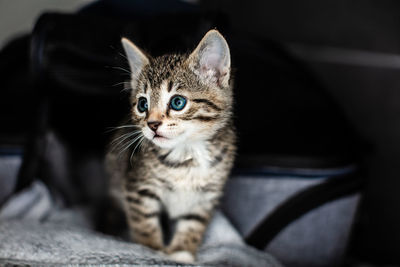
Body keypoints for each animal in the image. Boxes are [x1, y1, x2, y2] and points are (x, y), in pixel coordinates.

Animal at [107, 29, 238, 264]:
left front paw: (181, 252)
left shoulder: (206, 196)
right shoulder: (138, 187)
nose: (152, 124)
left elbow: (193, 224)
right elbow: (144, 222)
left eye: (178, 102)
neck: (187, 153)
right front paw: (151, 249)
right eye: (142, 104)